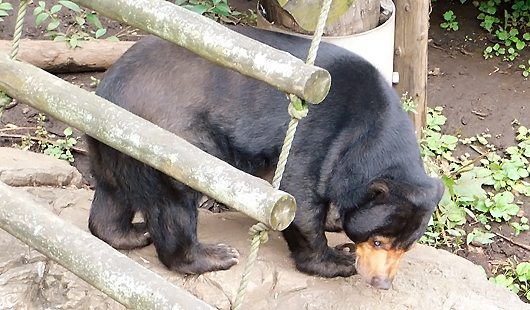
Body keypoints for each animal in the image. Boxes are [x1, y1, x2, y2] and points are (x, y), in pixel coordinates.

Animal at [86, 25, 442, 290]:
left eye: (407, 246)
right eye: (378, 242)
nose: (382, 282)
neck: (367, 132)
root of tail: (107, 91)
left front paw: (336, 220)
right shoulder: (316, 135)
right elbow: (296, 196)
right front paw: (338, 259)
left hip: (114, 145)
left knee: (112, 195)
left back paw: (130, 234)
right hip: (165, 142)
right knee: (173, 205)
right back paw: (215, 255)